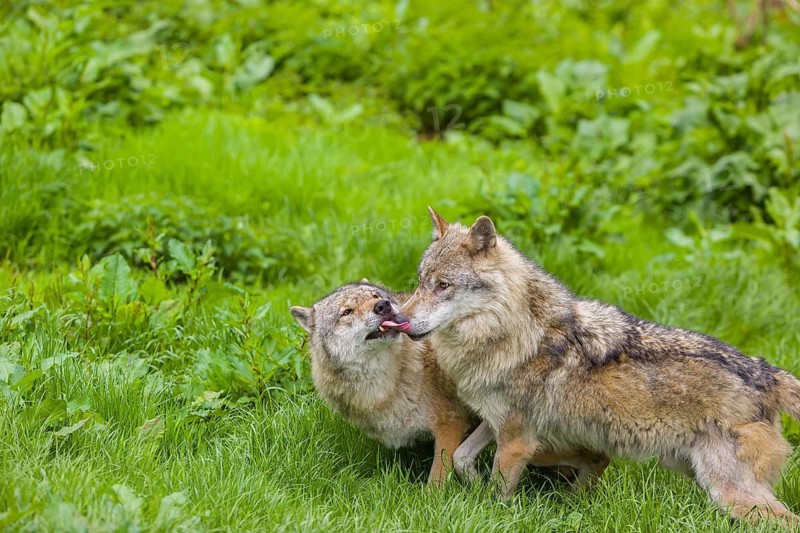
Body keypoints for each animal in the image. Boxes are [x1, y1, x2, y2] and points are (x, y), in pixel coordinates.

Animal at [291, 280, 609, 485]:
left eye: (373, 296)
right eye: (347, 312)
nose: (383, 305)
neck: (388, 382)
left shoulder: (450, 425)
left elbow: (437, 478)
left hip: (539, 448)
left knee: (599, 459)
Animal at [401, 207, 800, 522]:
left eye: (443, 285)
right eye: (420, 282)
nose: (400, 319)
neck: (515, 332)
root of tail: (766, 371)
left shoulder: (517, 440)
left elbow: (497, 493)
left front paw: (489, 506)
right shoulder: (497, 420)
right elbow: (461, 457)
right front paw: (472, 485)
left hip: (731, 491)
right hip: (697, 473)